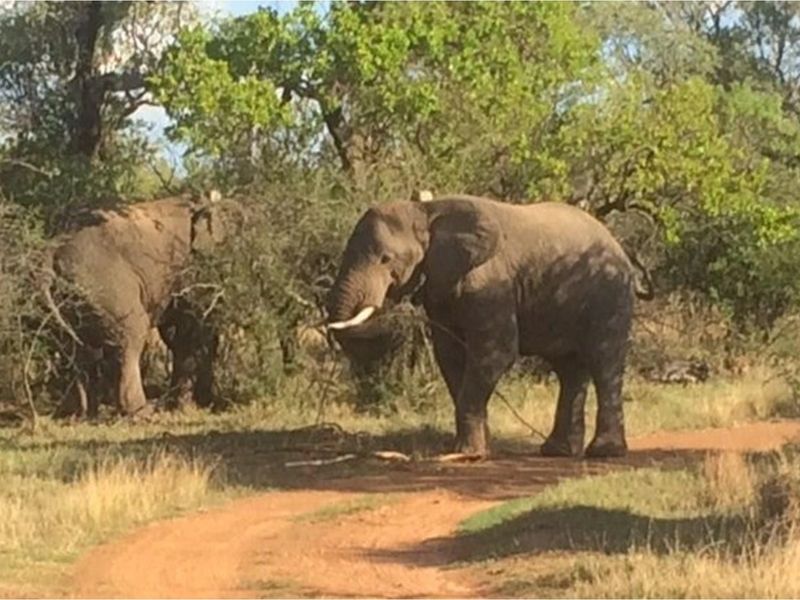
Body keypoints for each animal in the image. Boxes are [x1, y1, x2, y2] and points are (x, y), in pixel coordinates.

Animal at [42, 191, 234, 417]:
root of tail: (53, 251)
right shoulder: (188, 265)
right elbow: (193, 327)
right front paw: (191, 405)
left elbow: (178, 332)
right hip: (106, 286)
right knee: (132, 335)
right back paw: (141, 412)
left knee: (73, 349)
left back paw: (78, 414)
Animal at [327, 193, 651, 458]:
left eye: (386, 259)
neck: (427, 212)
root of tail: (619, 247)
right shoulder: (442, 286)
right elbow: (451, 357)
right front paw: (476, 449)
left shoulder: (489, 281)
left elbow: (496, 352)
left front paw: (467, 454)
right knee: (569, 370)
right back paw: (557, 451)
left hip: (610, 295)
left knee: (604, 362)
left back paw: (604, 453)